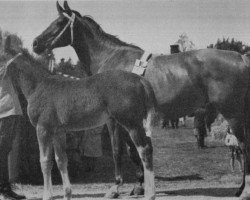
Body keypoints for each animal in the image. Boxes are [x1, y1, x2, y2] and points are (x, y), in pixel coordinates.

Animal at [3, 50, 156, 200]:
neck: (38, 86)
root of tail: (141, 80)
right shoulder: (58, 132)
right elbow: (61, 160)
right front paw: (67, 194)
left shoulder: (43, 129)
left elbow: (45, 161)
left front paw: (47, 195)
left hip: (131, 124)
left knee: (144, 150)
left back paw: (150, 194)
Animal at [33, 1, 250, 198]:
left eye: (60, 22)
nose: (36, 43)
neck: (111, 58)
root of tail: (241, 58)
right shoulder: (131, 121)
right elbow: (133, 151)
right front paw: (139, 185)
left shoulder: (115, 120)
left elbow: (119, 150)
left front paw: (117, 187)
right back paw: (239, 188)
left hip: (233, 113)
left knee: (244, 145)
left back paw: (245, 190)